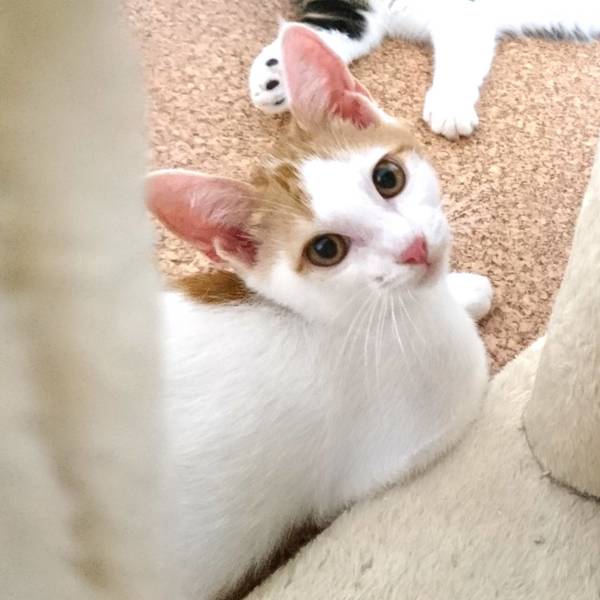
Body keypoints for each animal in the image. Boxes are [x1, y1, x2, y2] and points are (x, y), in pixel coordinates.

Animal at [249, 0, 600, 139]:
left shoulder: (463, 13)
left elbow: (460, 58)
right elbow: (310, 36)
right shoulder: (345, 11)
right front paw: (277, 77)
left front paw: (450, 107)